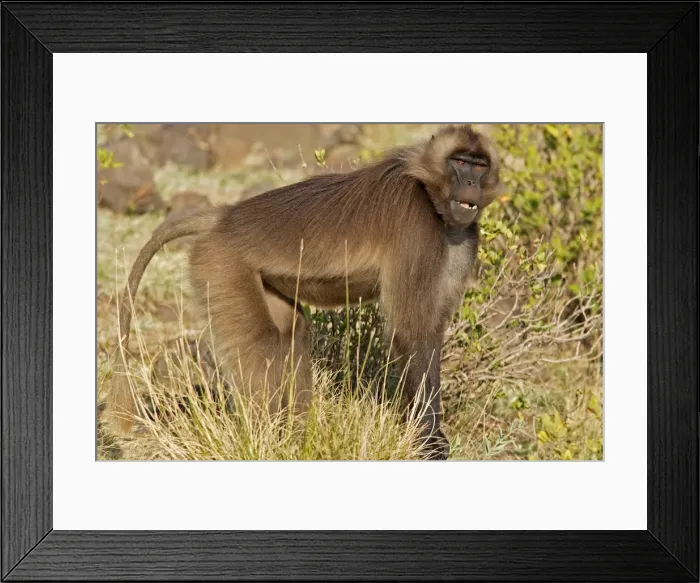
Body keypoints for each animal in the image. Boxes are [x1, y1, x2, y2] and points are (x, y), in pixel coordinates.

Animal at [106, 124, 503, 460]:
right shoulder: (416, 228)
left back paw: (295, 436)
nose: (471, 181)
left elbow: (431, 332)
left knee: (293, 333)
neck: (432, 198)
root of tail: (223, 217)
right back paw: (266, 440)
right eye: (459, 162)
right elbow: (411, 334)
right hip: (222, 265)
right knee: (262, 342)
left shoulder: (462, 237)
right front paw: (431, 442)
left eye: (480, 165)